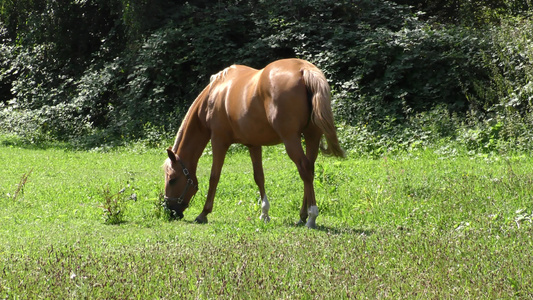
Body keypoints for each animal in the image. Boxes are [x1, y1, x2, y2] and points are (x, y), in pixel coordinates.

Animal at [163, 58, 344, 227]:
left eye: (172, 179)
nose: (169, 211)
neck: (213, 96)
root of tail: (303, 69)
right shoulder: (254, 144)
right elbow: (259, 177)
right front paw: (264, 214)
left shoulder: (219, 141)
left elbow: (214, 176)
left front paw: (203, 213)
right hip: (312, 136)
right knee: (310, 170)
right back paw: (302, 216)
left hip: (291, 139)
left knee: (305, 169)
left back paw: (311, 216)